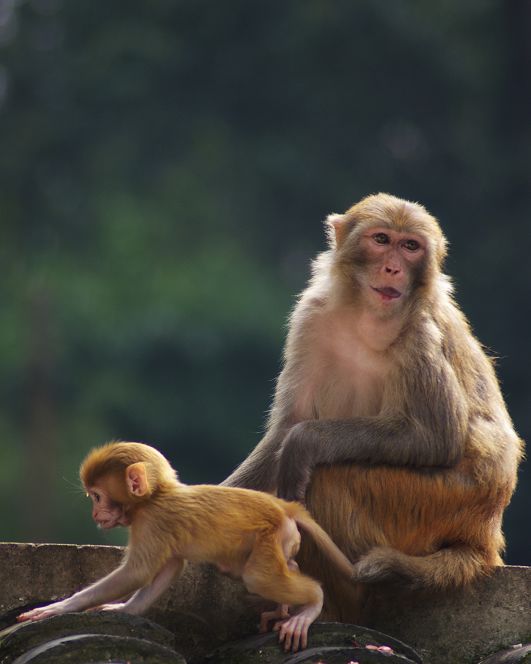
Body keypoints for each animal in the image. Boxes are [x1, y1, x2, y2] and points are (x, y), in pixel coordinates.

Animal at [18, 438, 356, 652]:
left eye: (98, 496)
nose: (94, 514)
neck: (154, 497)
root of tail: (284, 507)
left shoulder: (151, 522)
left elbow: (137, 573)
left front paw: (59, 607)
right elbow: (169, 568)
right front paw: (125, 608)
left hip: (270, 536)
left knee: (259, 577)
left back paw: (310, 605)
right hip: (279, 540)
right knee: (277, 566)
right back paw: (286, 598)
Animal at [223, 193, 524, 624]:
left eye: (410, 246)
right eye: (381, 240)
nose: (393, 267)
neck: (368, 317)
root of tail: (486, 532)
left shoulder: (421, 332)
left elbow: (437, 438)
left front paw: (305, 442)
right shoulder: (311, 317)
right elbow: (287, 425)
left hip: (437, 501)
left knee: (329, 481)